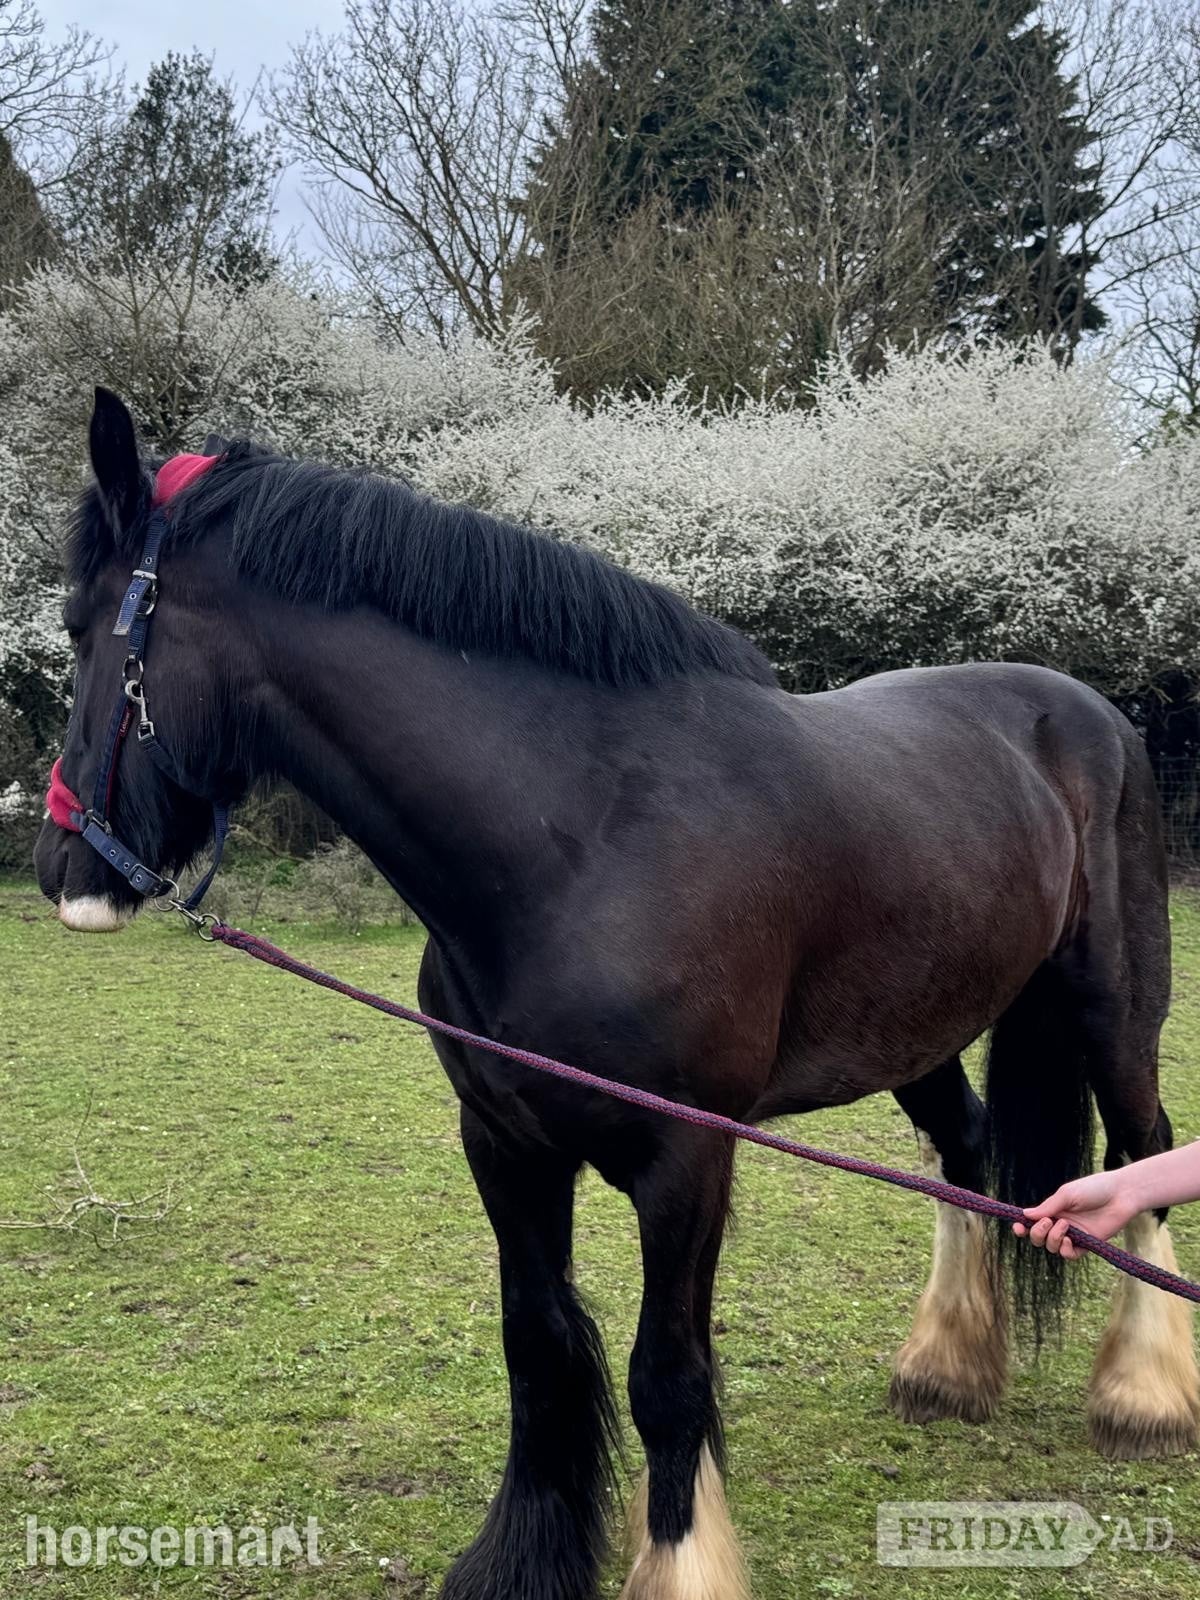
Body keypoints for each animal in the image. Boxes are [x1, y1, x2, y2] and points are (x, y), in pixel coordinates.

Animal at [35, 387, 1200, 1600]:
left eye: (78, 627)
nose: (63, 868)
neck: (585, 836)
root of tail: (1092, 712)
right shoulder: (503, 1143)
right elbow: (538, 1346)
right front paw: (526, 1558)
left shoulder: (685, 1159)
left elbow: (666, 1376)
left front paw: (682, 1562)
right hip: (915, 1031)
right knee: (967, 1148)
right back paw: (950, 1368)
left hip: (1113, 1009)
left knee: (1143, 1151)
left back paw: (1144, 1393)